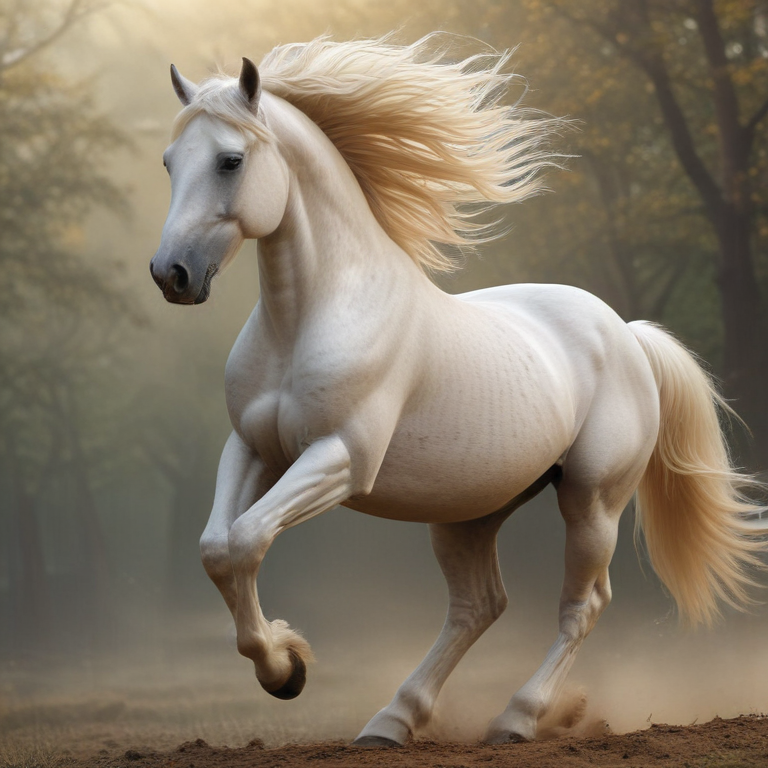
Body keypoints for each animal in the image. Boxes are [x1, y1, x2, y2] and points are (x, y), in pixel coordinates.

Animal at [149, 35, 765, 746]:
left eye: (230, 160)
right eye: (169, 162)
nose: (172, 274)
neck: (307, 317)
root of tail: (626, 334)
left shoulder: (340, 457)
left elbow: (248, 539)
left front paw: (286, 668)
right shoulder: (252, 449)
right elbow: (218, 550)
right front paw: (286, 665)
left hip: (592, 500)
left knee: (582, 604)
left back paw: (516, 718)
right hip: (470, 512)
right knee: (479, 605)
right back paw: (393, 720)